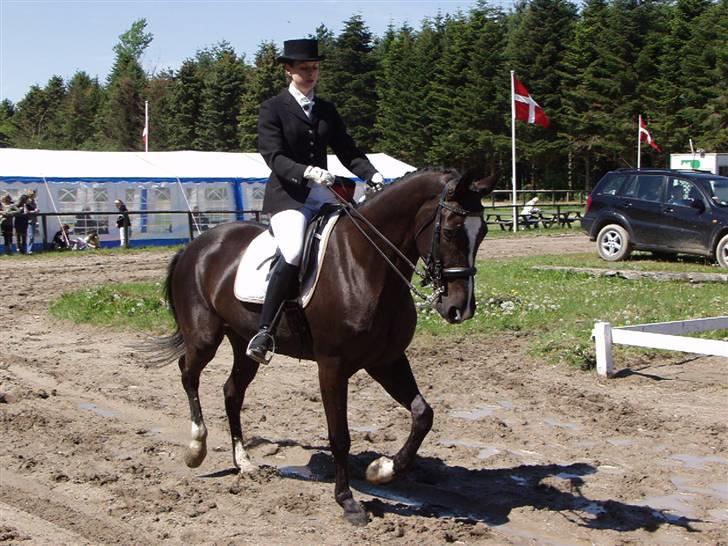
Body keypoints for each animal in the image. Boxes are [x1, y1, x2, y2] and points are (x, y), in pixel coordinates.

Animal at [158, 166, 500, 524]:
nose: (460, 309)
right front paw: (347, 501)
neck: (366, 264)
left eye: (483, 232)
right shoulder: (332, 366)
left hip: (244, 344)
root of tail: (196, 245)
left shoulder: (387, 361)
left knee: (232, 391)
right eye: (450, 231)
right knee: (188, 373)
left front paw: (382, 470)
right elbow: (340, 436)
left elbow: (423, 415)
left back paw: (245, 463)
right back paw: (196, 448)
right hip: (204, 338)